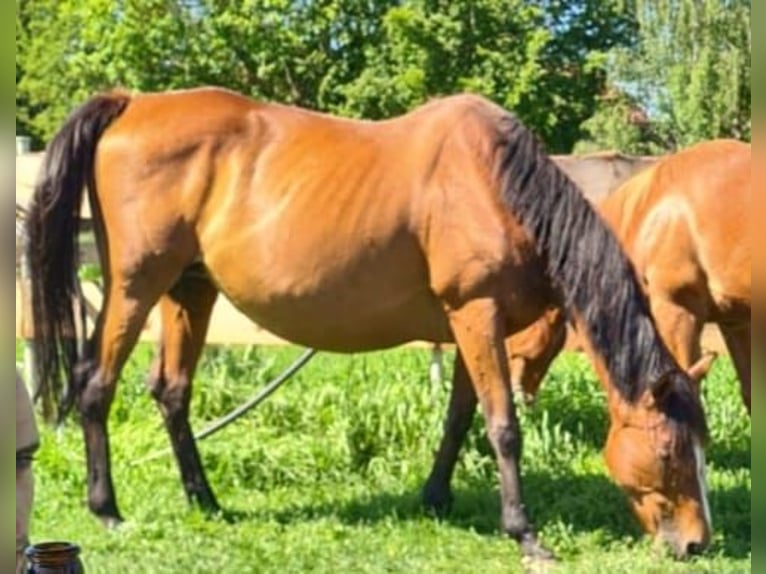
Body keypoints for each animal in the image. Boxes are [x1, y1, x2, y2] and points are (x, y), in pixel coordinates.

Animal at [26, 87, 711, 561]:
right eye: (671, 450)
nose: (697, 543)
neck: (497, 184)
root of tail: (132, 103)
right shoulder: (477, 312)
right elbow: (502, 426)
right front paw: (524, 533)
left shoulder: (464, 324)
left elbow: (460, 417)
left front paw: (435, 497)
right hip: (134, 288)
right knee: (95, 385)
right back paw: (107, 509)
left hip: (190, 290)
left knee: (171, 391)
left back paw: (207, 500)